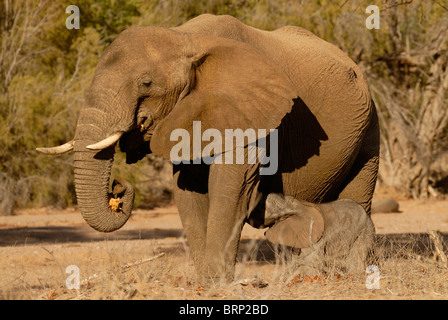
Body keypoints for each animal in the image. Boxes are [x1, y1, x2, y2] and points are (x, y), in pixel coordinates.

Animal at [38, 13, 380, 282]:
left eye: (146, 83)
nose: (118, 188)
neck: (185, 38)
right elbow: (187, 190)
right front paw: (205, 281)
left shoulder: (246, 111)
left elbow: (230, 185)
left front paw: (218, 282)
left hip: (369, 128)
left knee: (358, 197)